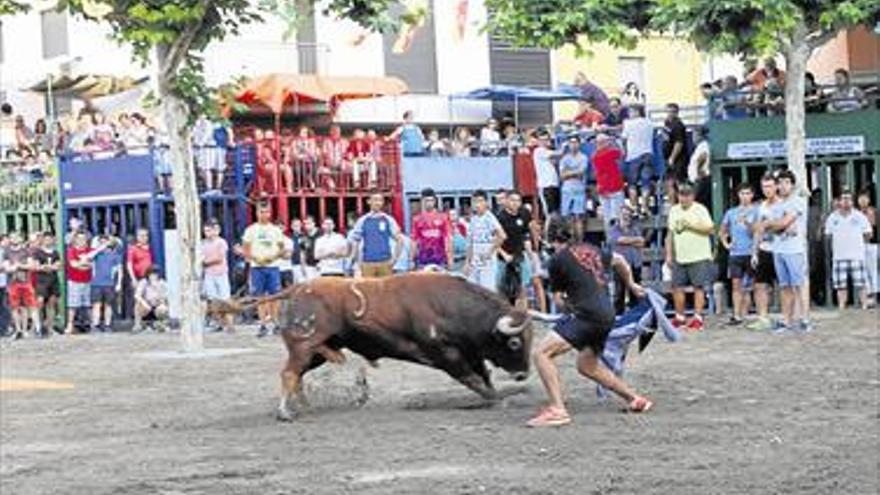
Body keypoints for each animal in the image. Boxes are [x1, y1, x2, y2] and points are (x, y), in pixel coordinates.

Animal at [214, 274, 532, 420]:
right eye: (515, 341)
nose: (523, 374)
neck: (447, 304)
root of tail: (297, 288)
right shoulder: (446, 355)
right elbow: (473, 379)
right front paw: (497, 399)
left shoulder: (471, 351)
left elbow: (483, 375)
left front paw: (499, 395)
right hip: (304, 347)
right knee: (290, 374)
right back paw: (285, 412)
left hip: (317, 352)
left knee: (298, 376)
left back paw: (302, 406)